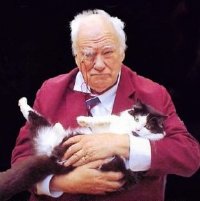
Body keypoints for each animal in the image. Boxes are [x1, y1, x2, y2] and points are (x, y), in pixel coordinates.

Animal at [0, 96, 166, 200]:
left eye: (148, 126)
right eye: (137, 119)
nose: (137, 129)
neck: (125, 130)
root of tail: (52, 155)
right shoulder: (108, 125)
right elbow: (106, 118)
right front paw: (83, 119)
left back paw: (59, 129)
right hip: (45, 131)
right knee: (34, 116)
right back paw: (24, 102)